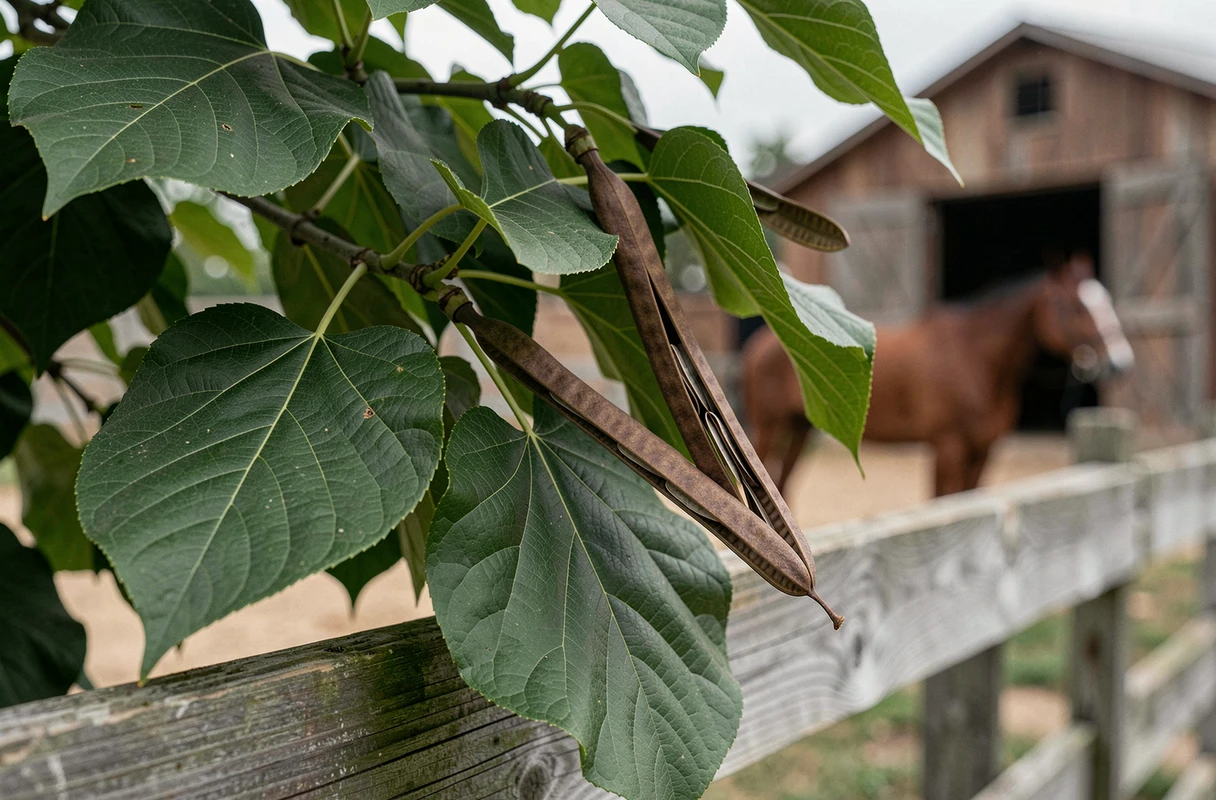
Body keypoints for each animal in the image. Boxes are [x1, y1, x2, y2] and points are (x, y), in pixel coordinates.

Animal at [742, 251, 1135, 497]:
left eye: (1105, 300)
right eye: (1073, 306)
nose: (1120, 362)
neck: (974, 356)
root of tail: (760, 344)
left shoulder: (983, 452)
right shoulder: (948, 448)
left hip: (799, 429)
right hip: (769, 429)